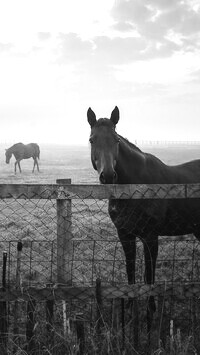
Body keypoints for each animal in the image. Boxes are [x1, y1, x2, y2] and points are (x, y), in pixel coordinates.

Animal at [88, 106, 200, 334]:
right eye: (92, 140)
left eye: (116, 140)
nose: (108, 176)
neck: (135, 187)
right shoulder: (125, 235)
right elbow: (130, 271)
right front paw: (131, 309)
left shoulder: (150, 237)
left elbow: (149, 275)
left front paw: (150, 312)